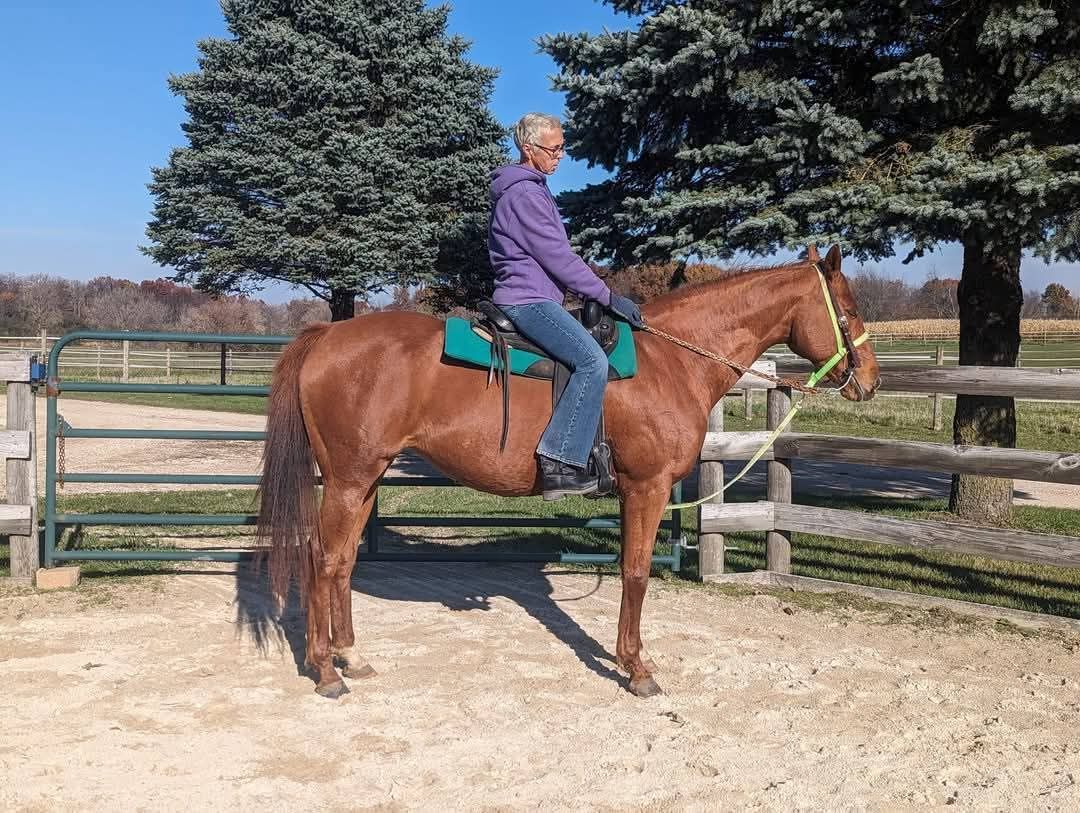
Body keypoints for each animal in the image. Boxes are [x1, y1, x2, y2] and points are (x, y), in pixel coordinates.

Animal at [256, 244, 882, 699]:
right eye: (849, 312)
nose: (871, 381)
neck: (673, 361)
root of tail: (327, 335)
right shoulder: (647, 487)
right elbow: (635, 573)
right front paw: (636, 668)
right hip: (347, 480)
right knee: (321, 559)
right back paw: (325, 671)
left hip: (364, 480)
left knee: (342, 561)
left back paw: (351, 656)